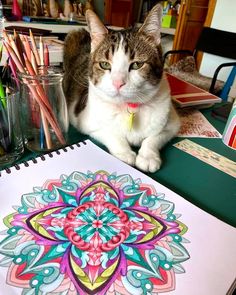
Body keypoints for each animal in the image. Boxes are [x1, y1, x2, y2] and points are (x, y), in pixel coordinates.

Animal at [62, 3, 181, 173]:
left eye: (137, 64)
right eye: (104, 64)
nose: (118, 82)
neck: (130, 107)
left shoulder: (173, 124)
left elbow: (154, 137)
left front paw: (148, 156)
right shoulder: (85, 122)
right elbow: (111, 134)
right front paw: (125, 153)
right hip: (72, 35)